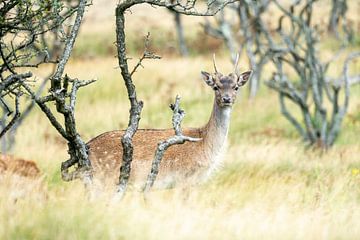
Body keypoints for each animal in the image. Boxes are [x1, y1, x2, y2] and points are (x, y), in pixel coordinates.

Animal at [87, 55, 252, 188]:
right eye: (216, 87)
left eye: (236, 87)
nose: (226, 98)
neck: (205, 144)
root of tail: (88, 145)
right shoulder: (185, 179)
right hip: (104, 178)